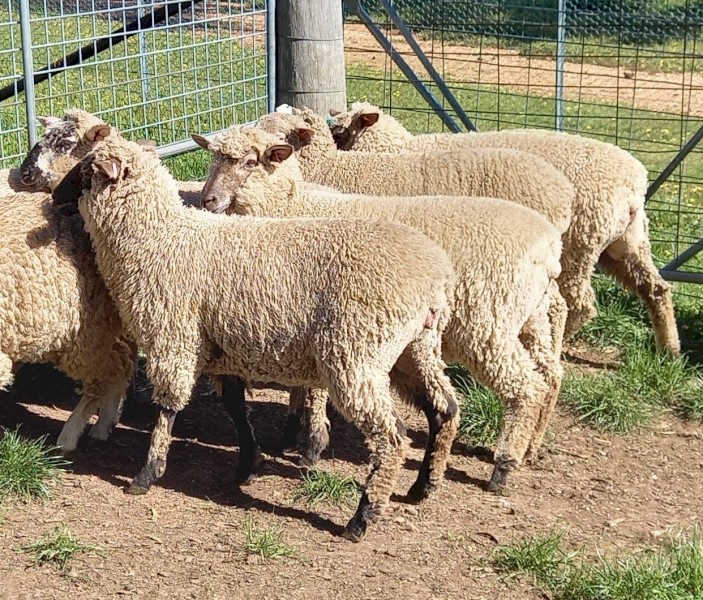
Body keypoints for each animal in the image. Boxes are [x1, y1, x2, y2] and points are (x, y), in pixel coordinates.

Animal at [51, 128, 461, 541]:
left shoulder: (174, 336)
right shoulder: (223, 348)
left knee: (392, 438)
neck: (161, 237)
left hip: (356, 353)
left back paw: (362, 518)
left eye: (86, 171)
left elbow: (167, 408)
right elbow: (235, 408)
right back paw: (423, 487)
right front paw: (249, 462)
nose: (54, 196)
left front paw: (147, 473)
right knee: (444, 409)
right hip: (415, 349)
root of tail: (435, 275)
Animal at [193, 124, 567, 493]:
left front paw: (311, 446)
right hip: (529, 316)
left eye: (250, 161)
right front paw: (291, 433)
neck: (291, 206)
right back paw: (528, 449)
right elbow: (299, 387)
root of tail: (548, 246)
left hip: (488, 326)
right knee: (550, 374)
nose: (208, 199)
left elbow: (312, 390)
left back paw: (503, 467)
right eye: (213, 157)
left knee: (527, 387)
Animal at [327, 103, 680, 356]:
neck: (398, 149)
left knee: (580, 304)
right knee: (656, 288)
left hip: (581, 244)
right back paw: (670, 350)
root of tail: (634, 184)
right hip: (624, 243)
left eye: (340, 130)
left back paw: (560, 343)